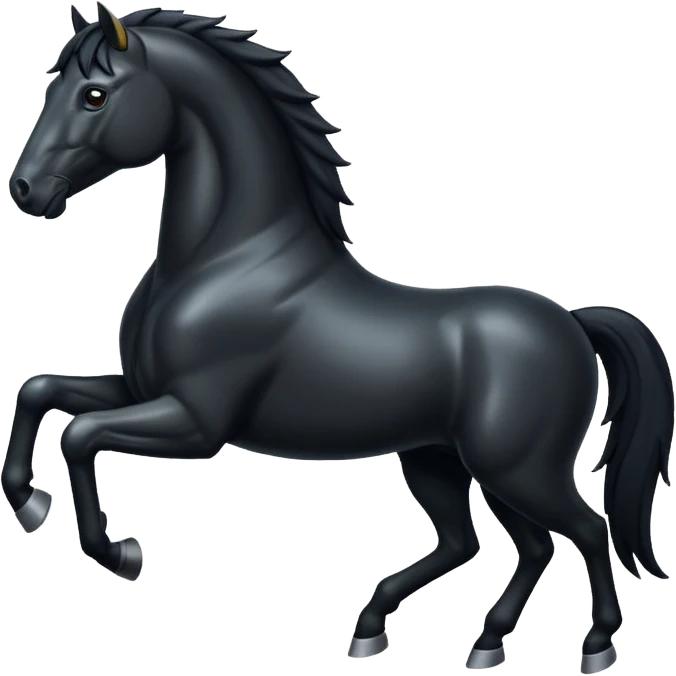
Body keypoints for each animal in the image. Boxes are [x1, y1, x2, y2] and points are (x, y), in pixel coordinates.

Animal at [3, 4, 673, 672]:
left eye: (94, 94)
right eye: (50, 88)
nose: (26, 191)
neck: (225, 260)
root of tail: (573, 321)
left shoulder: (197, 423)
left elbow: (80, 435)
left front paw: (120, 553)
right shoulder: (141, 391)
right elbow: (42, 392)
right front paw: (31, 504)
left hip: (519, 468)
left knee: (583, 531)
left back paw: (595, 644)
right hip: (444, 461)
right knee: (497, 544)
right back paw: (432, 636)